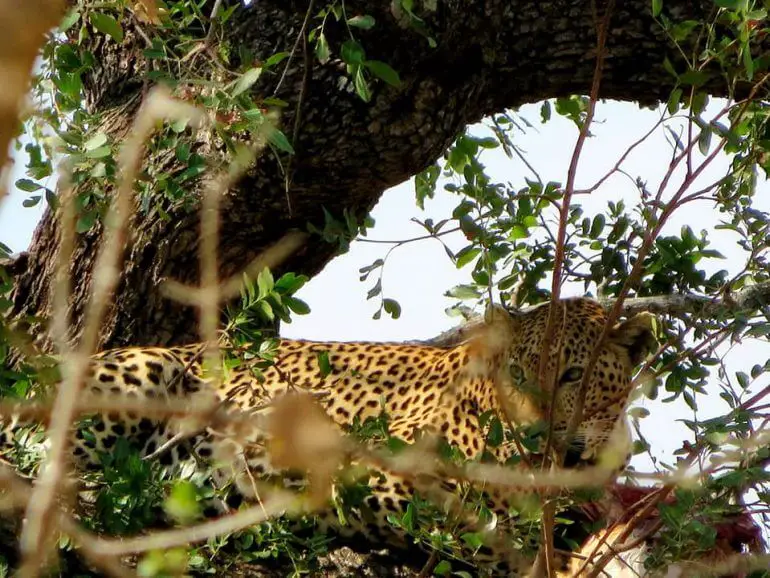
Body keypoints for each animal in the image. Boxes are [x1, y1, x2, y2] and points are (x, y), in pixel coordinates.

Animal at [0, 296, 656, 572]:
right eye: (518, 373)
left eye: (572, 375)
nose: (535, 434)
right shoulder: (382, 477)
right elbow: (485, 531)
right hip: (144, 371)